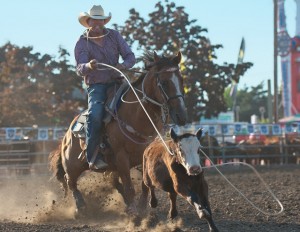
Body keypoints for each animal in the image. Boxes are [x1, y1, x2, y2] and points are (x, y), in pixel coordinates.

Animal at [49, 50, 188, 216]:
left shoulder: (143, 156)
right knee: (70, 181)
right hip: (73, 164)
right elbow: (129, 187)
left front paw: (142, 208)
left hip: (109, 166)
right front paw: (135, 213)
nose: (181, 116)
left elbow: (145, 185)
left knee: (112, 182)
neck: (135, 115)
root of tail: (67, 135)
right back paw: (81, 207)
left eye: (181, 80)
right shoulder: (121, 158)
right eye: (165, 82)